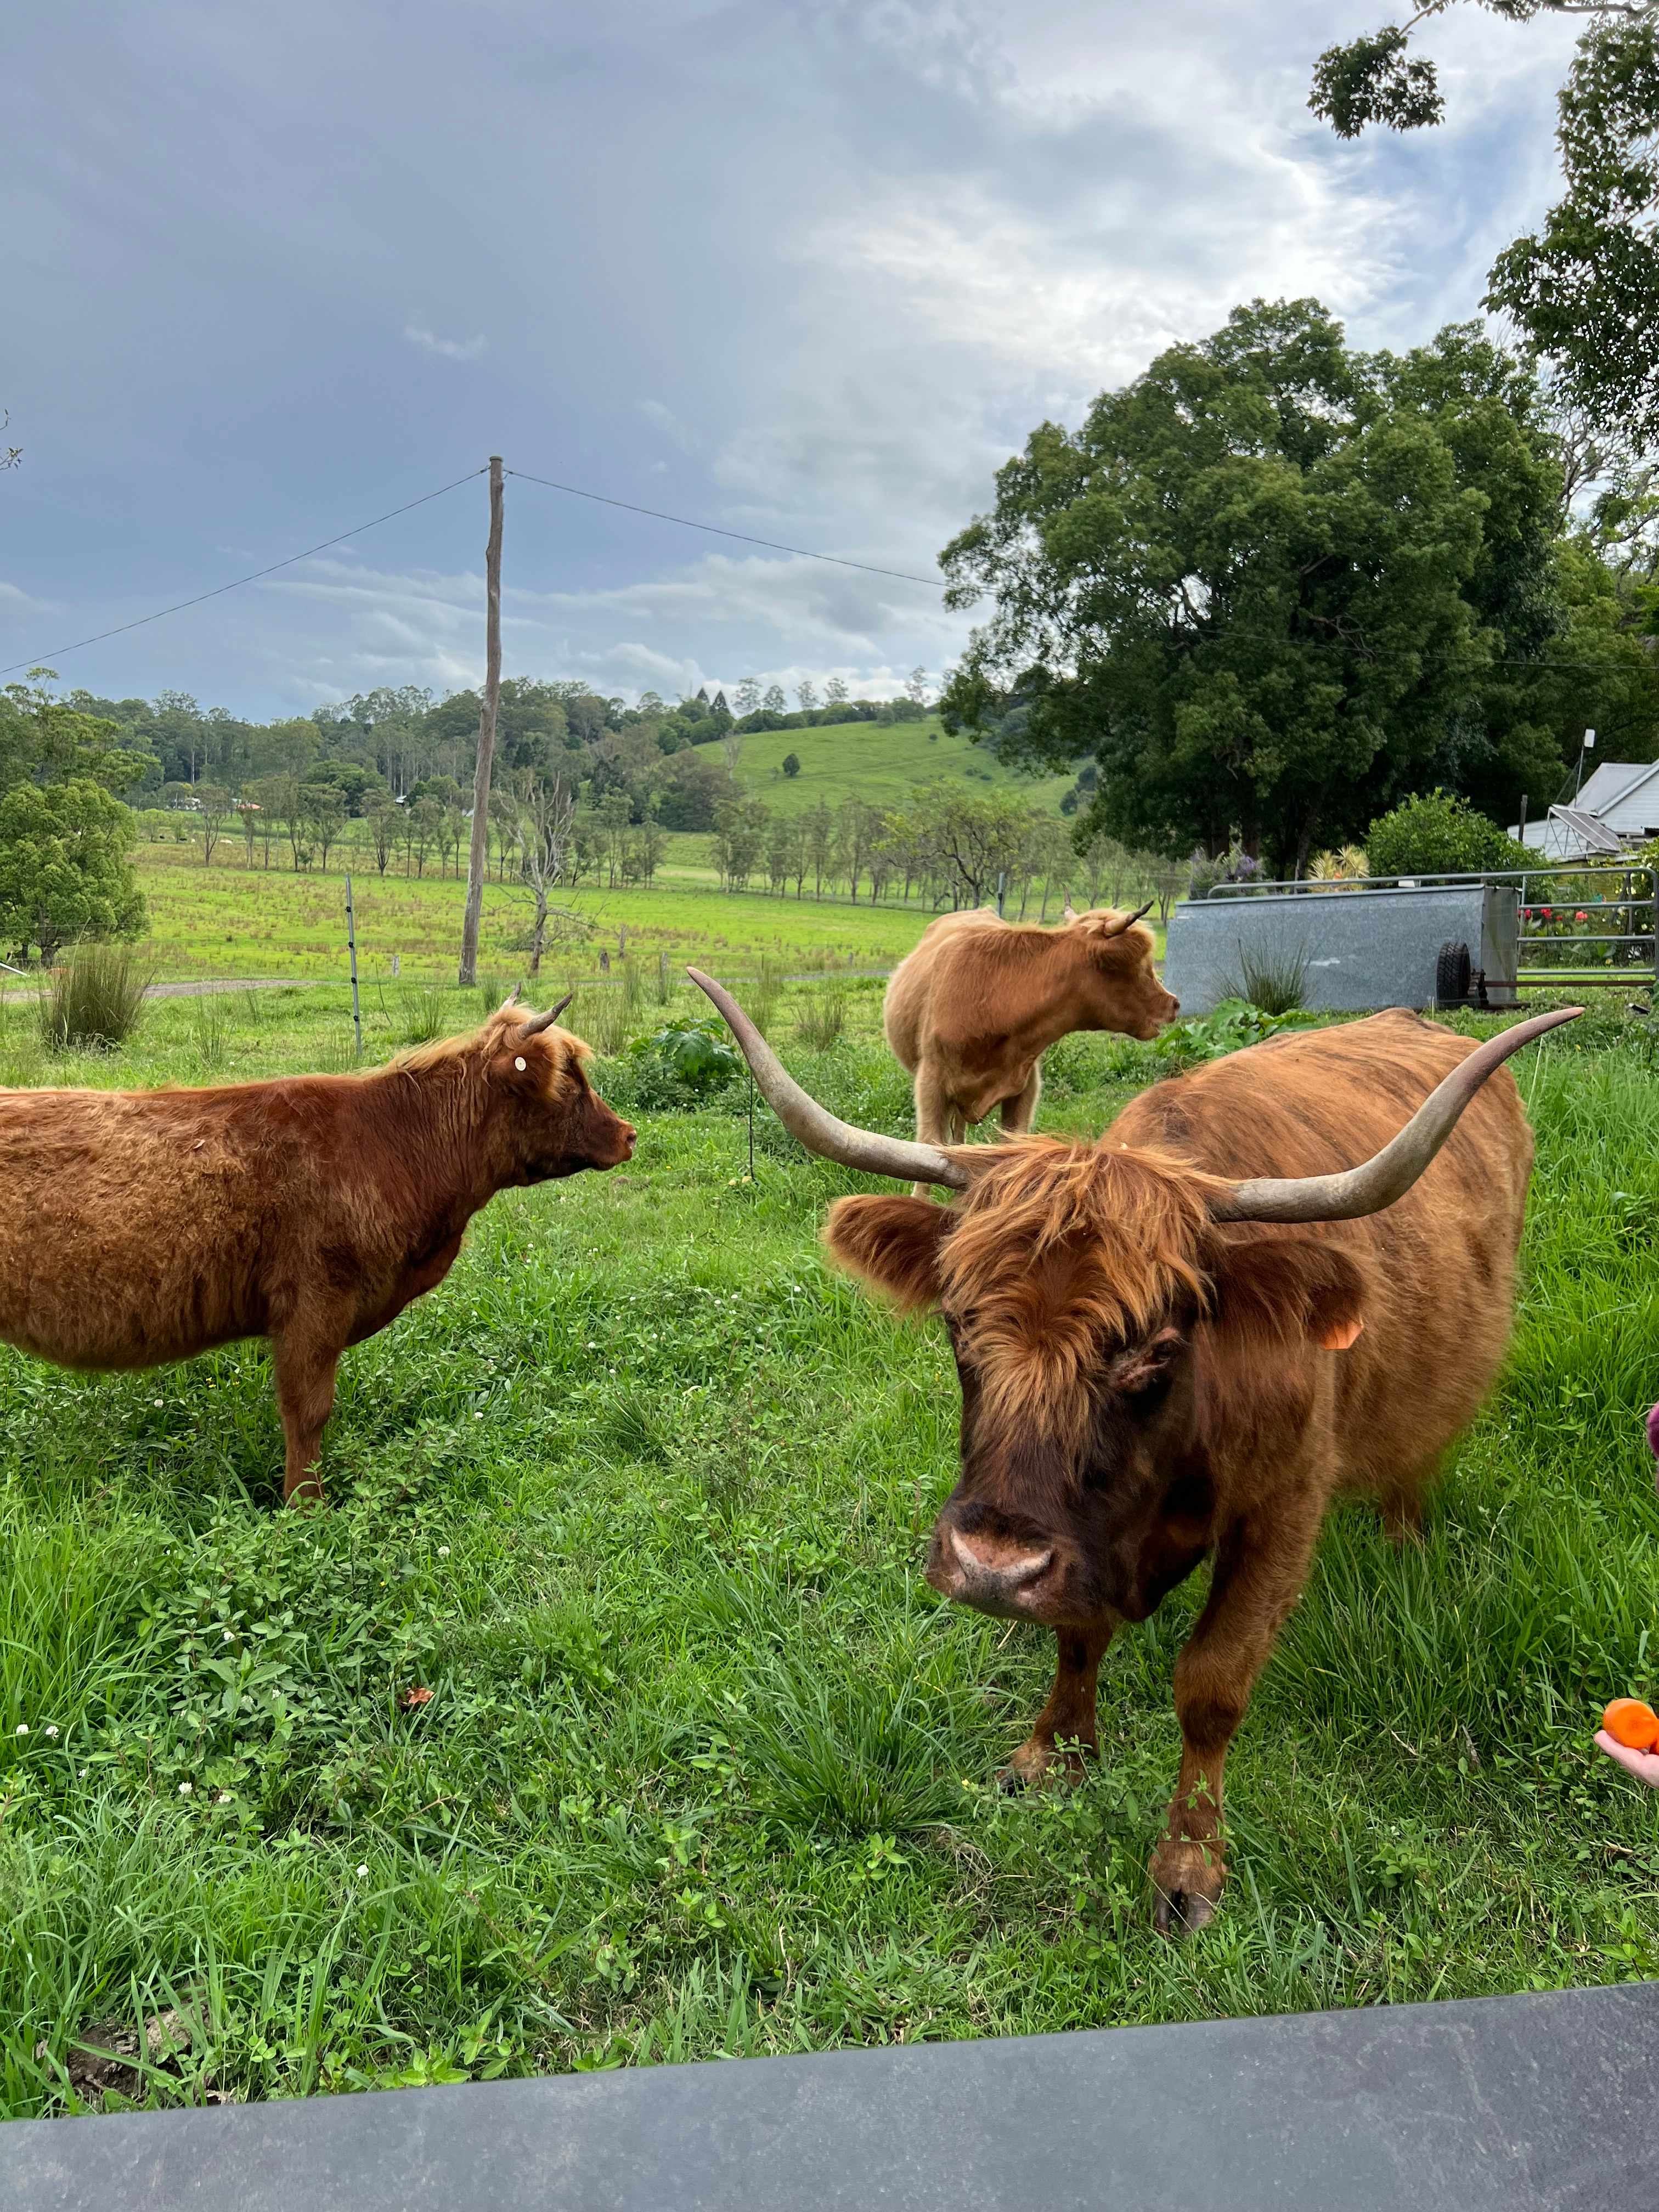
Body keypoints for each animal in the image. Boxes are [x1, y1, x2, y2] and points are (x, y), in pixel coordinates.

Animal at [0, 994, 635, 1504]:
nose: (629, 1135)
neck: (396, 1145)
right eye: (570, 1082)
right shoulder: (314, 1303)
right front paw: (305, 1506)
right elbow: (307, 1413)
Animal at [688, 966, 1577, 1930]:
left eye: (1153, 1348)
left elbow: (1213, 1682)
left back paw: (1403, 1543)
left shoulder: (1285, 1505)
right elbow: (1078, 1634)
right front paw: (1052, 1758)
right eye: (958, 1323)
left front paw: (1189, 1865)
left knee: (1416, 1458)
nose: (991, 1567)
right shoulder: (1082, 1541)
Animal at [882, 904, 1179, 1196]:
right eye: (1138, 964)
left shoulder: (1025, 1086)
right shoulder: (931, 1082)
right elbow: (928, 1151)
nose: (1174, 1003)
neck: (995, 1000)